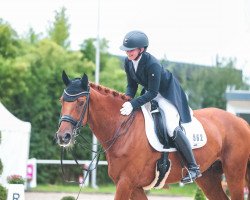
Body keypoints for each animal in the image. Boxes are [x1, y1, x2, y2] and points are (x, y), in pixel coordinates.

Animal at [56, 71, 250, 199]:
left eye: (81, 102)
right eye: (62, 101)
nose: (63, 137)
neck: (122, 129)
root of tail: (241, 121)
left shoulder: (125, 183)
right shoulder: (134, 186)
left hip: (234, 174)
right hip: (209, 177)